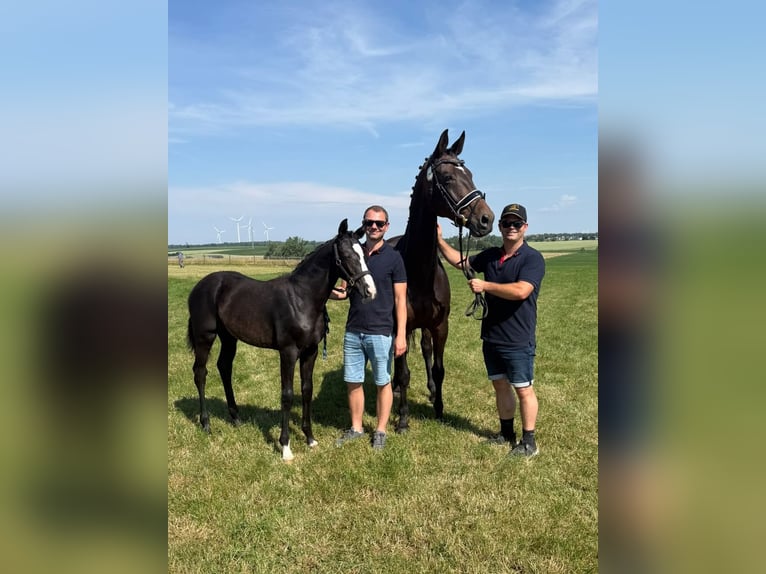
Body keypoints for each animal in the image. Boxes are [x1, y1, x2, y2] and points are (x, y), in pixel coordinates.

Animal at [186, 219, 377, 461]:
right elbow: (287, 395)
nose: (370, 291)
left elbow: (307, 390)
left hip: (229, 337)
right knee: (200, 373)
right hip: (205, 336)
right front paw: (285, 447)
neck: (302, 299)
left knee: (224, 367)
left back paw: (236, 418)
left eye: (363, 253)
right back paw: (206, 424)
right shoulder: (288, 352)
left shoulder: (311, 351)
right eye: (345, 254)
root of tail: (200, 287)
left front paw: (310, 438)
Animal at [388, 129, 495, 433]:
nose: (486, 219)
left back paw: (431, 390)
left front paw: (439, 409)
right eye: (447, 178)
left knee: (425, 351)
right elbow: (403, 371)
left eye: (470, 174)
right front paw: (402, 419)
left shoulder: (440, 326)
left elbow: (438, 368)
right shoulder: (401, 324)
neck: (419, 272)